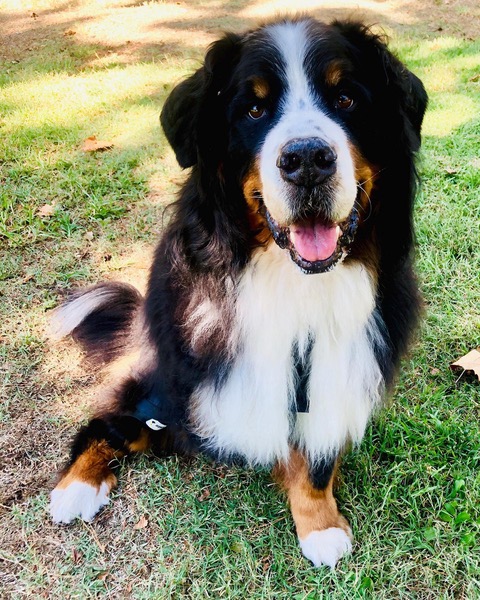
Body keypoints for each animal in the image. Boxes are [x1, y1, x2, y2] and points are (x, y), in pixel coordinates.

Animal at [49, 16, 427, 568]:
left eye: (346, 99)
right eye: (253, 109)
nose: (308, 159)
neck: (296, 281)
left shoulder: (336, 366)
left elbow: (315, 462)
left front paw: (319, 525)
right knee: (111, 421)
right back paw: (77, 486)